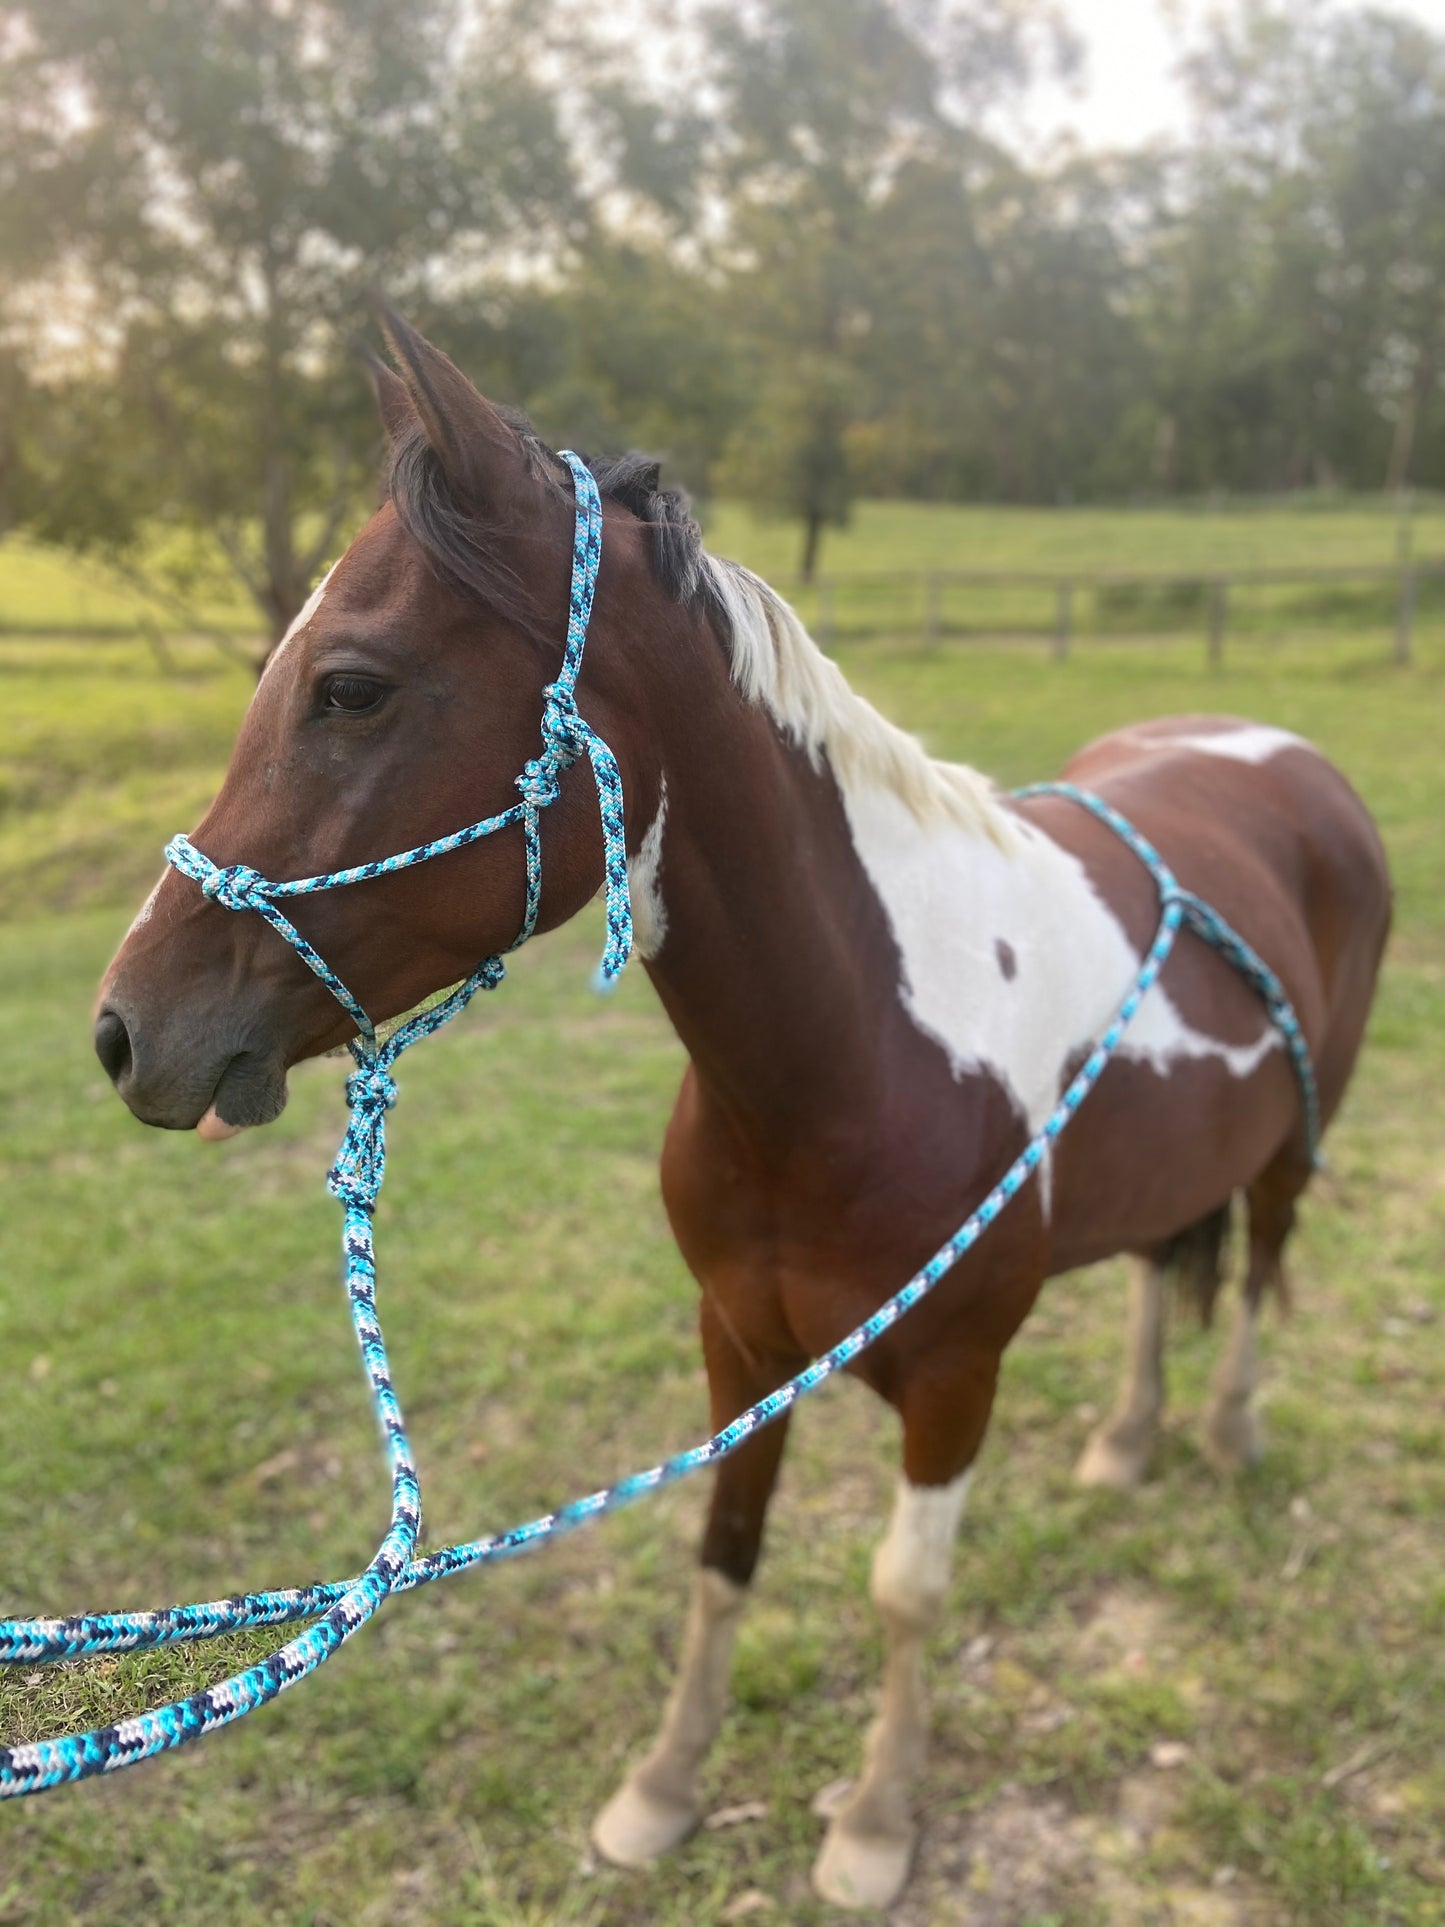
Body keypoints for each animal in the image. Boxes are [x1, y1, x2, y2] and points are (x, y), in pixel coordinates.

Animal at [93, 319, 1394, 1911]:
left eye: (350, 686)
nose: (124, 1029)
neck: (854, 1063)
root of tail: (1283, 752)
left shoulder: (956, 1371)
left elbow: (905, 1589)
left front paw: (876, 1823)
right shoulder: (738, 1342)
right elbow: (721, 1551)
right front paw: (660, 1790)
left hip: (1293, 1137)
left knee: (1260, 1261)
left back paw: (1222, 1429)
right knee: (1166, 1259)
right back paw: (1129, 1437)